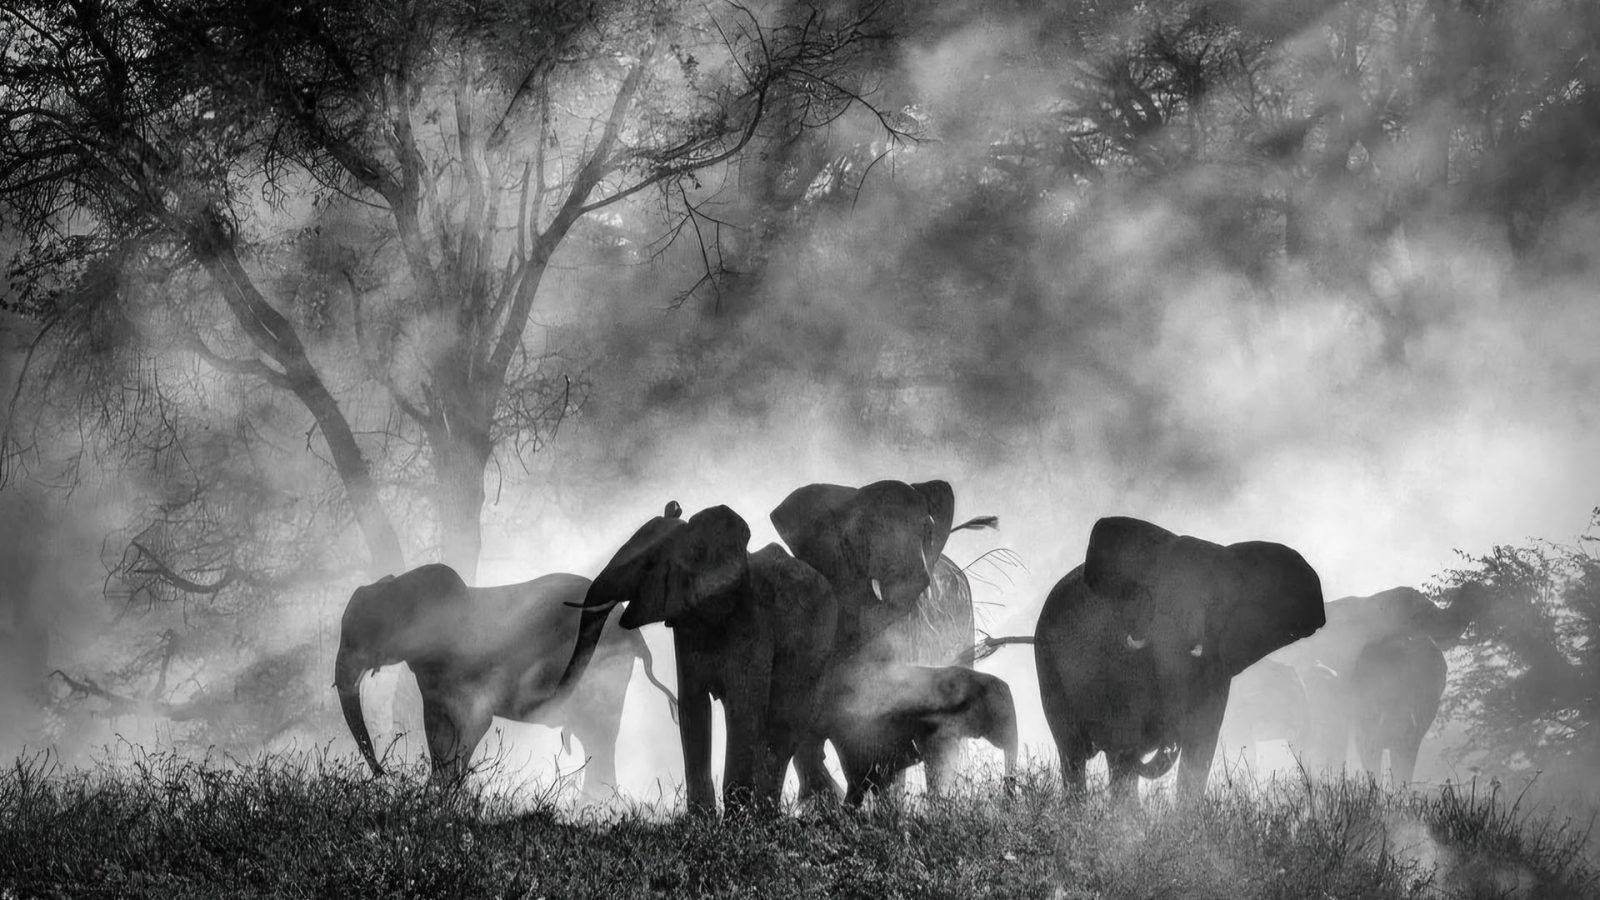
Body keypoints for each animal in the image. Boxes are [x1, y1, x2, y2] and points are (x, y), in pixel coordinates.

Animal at [334, 563, 677, 790]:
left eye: (364, 634)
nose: (384, 775)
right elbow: (437, 731)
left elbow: (475, 723)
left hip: (603, 670)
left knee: (600, 737)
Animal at [556, 503, 841, 814]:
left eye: (650, 564)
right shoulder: (686, 623)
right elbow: (692, 707)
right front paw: (701, 819)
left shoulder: (753, 621)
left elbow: (743, 707)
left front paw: (736, 820)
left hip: (817, 651)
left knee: (784, 726)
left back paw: (768, 814)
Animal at [1034, 516, 1326, 801]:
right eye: (1156, 594)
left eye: (1215, 603)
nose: (1170, 738)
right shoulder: (1118, 661)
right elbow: (1124, 742)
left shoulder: (1217, 668)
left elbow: (1200, 745)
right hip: (1048, 667)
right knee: (1074, 755)